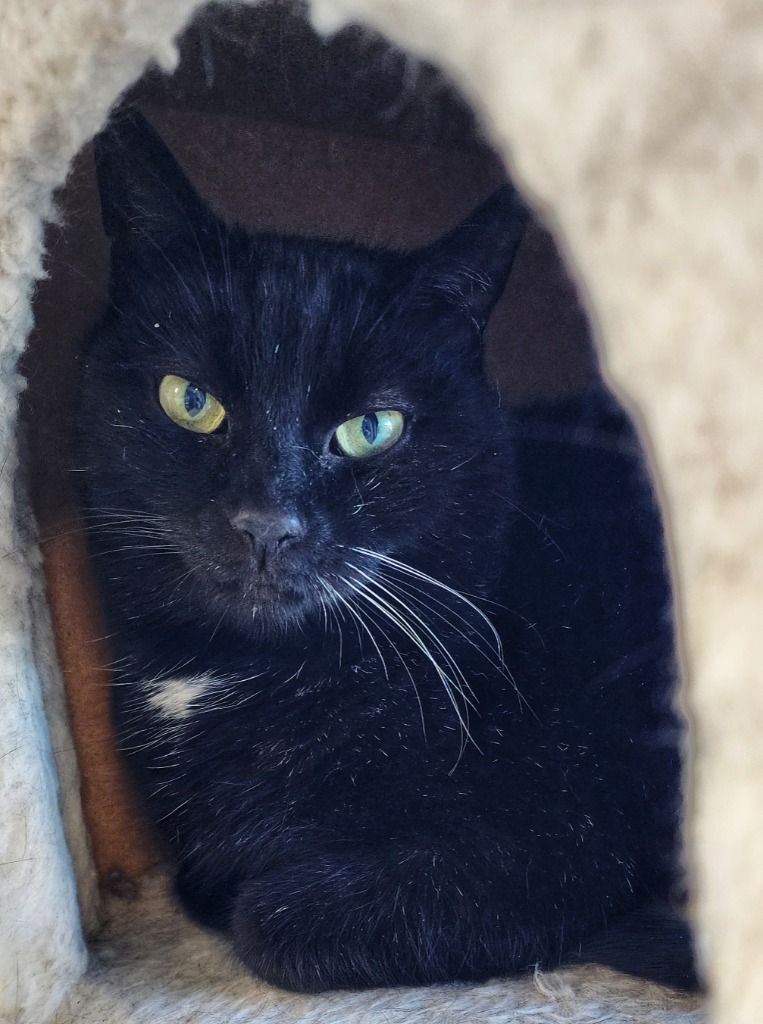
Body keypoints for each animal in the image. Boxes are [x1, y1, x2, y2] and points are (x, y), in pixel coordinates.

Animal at [75, 110, 692, 991]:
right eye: (190, 401)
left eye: (370, 428)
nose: (267, 522)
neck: (233, 672)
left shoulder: (562, 832)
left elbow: (268, 919)